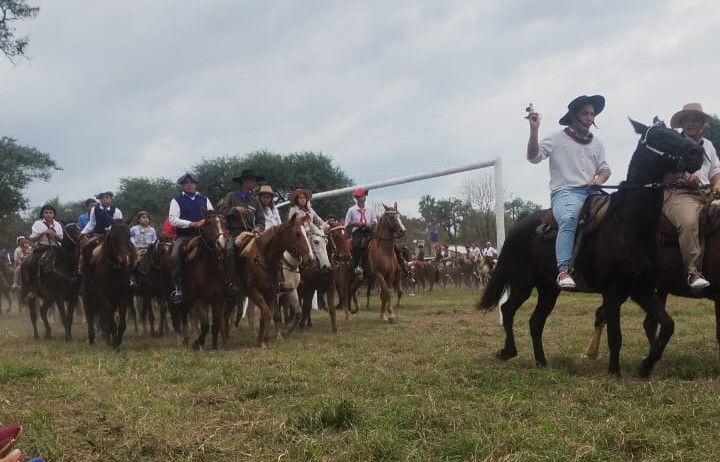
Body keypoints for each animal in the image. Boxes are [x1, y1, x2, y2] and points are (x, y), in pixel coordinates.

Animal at [238, 213, 314, 346]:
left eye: (307, 233)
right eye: (297, 233)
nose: (310, 258)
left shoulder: (291, 290)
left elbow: (298, 312)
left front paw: (286, 332)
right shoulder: (275, 294)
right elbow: (276, 314)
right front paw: (278, 335)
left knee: (251, 311)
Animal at [478, 117, 704, 378]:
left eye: (675, 132)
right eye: (659, 136)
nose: (697, 152)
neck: (626, 225)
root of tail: (519, 227)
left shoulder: (641, 288)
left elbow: (667, 325)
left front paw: (645, 366)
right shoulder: (613, 291)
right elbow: (615, 336)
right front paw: (614, 373)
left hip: (548, 289)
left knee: (535, 322)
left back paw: (542, 362)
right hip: (523, 283)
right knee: (508, 310)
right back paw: (508, 351)